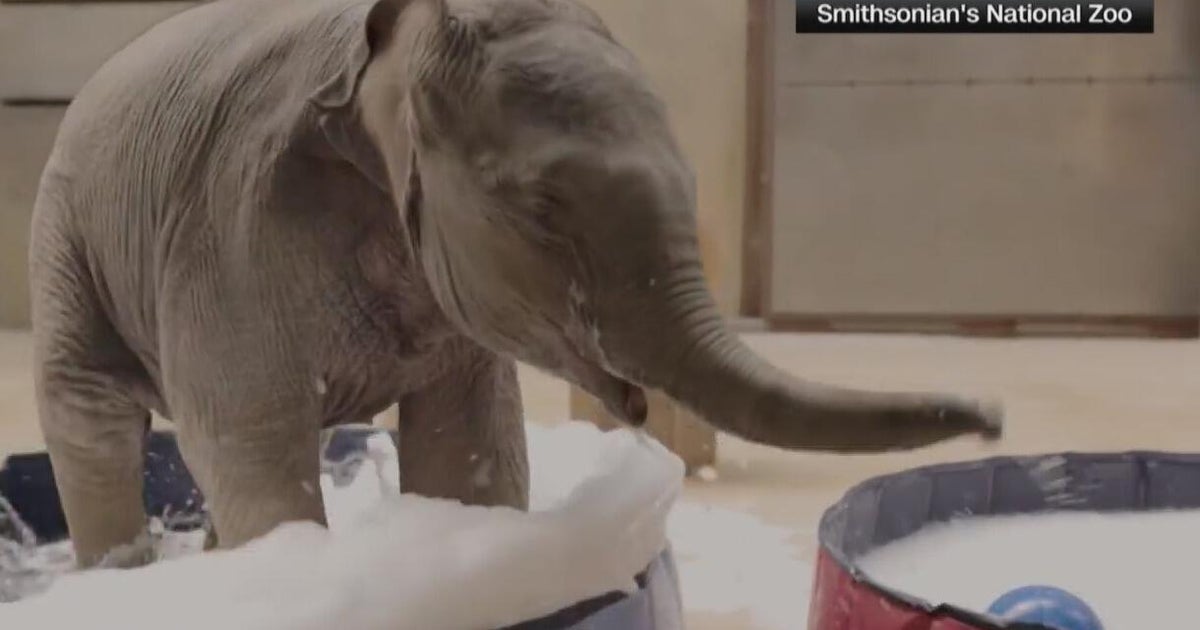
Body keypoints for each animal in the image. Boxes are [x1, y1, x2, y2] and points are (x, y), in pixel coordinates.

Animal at [28, 0, 1002, 568]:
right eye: (543, 210)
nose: (993, 421)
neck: (398, 44)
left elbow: (469, 445)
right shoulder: (232, 225)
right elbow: (250, 441)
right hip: (65, 237)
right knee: (92, 416)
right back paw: (122, 571)